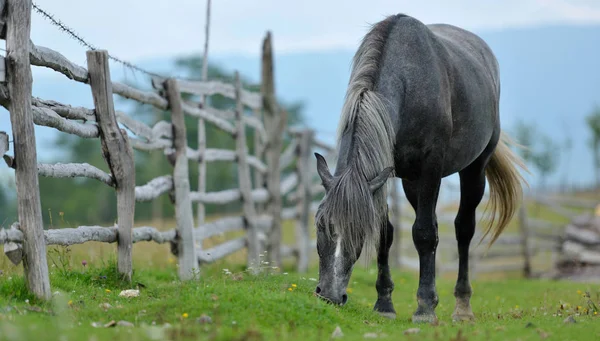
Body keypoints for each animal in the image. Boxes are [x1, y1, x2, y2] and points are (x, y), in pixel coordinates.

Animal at [312, 13, 528, 322]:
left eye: (359, 230)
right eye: (320, 224)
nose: (329, 294)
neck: (407, 81)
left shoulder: (430, 170)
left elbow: (424, 233)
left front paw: (425, 308)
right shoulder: (385, 175)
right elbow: (387, 233)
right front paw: (384, 304)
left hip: (474, 169)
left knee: (463, 229)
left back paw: (462, 307)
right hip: (411, 183)